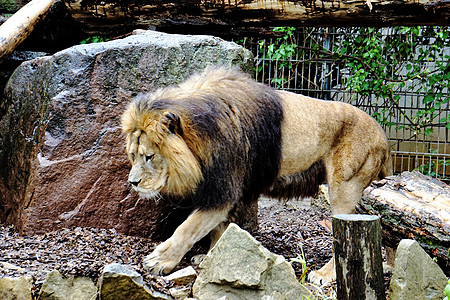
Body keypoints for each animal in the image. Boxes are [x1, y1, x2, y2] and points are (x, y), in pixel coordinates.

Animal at [121, 67, 392, 284]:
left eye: (149, 156)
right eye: (133, 155)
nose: (132, 182)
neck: (201, 138)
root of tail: (383, 135)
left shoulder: (224, 189)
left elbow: (187, 229)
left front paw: (159, 260)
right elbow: (219, 228)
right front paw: (212, 255)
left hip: (344, 187)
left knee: (343, 235)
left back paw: (324, 274)